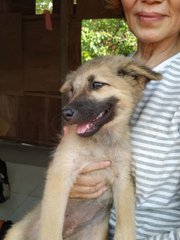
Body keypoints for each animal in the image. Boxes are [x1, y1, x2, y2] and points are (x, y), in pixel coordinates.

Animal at [4, 55, 161, 239]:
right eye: (72, 90)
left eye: (97, 85)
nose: (65, 114)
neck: (100, 142)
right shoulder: (60, 174)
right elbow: (51, 228)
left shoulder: (123, 181)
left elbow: (126, 227)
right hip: (14, 232)